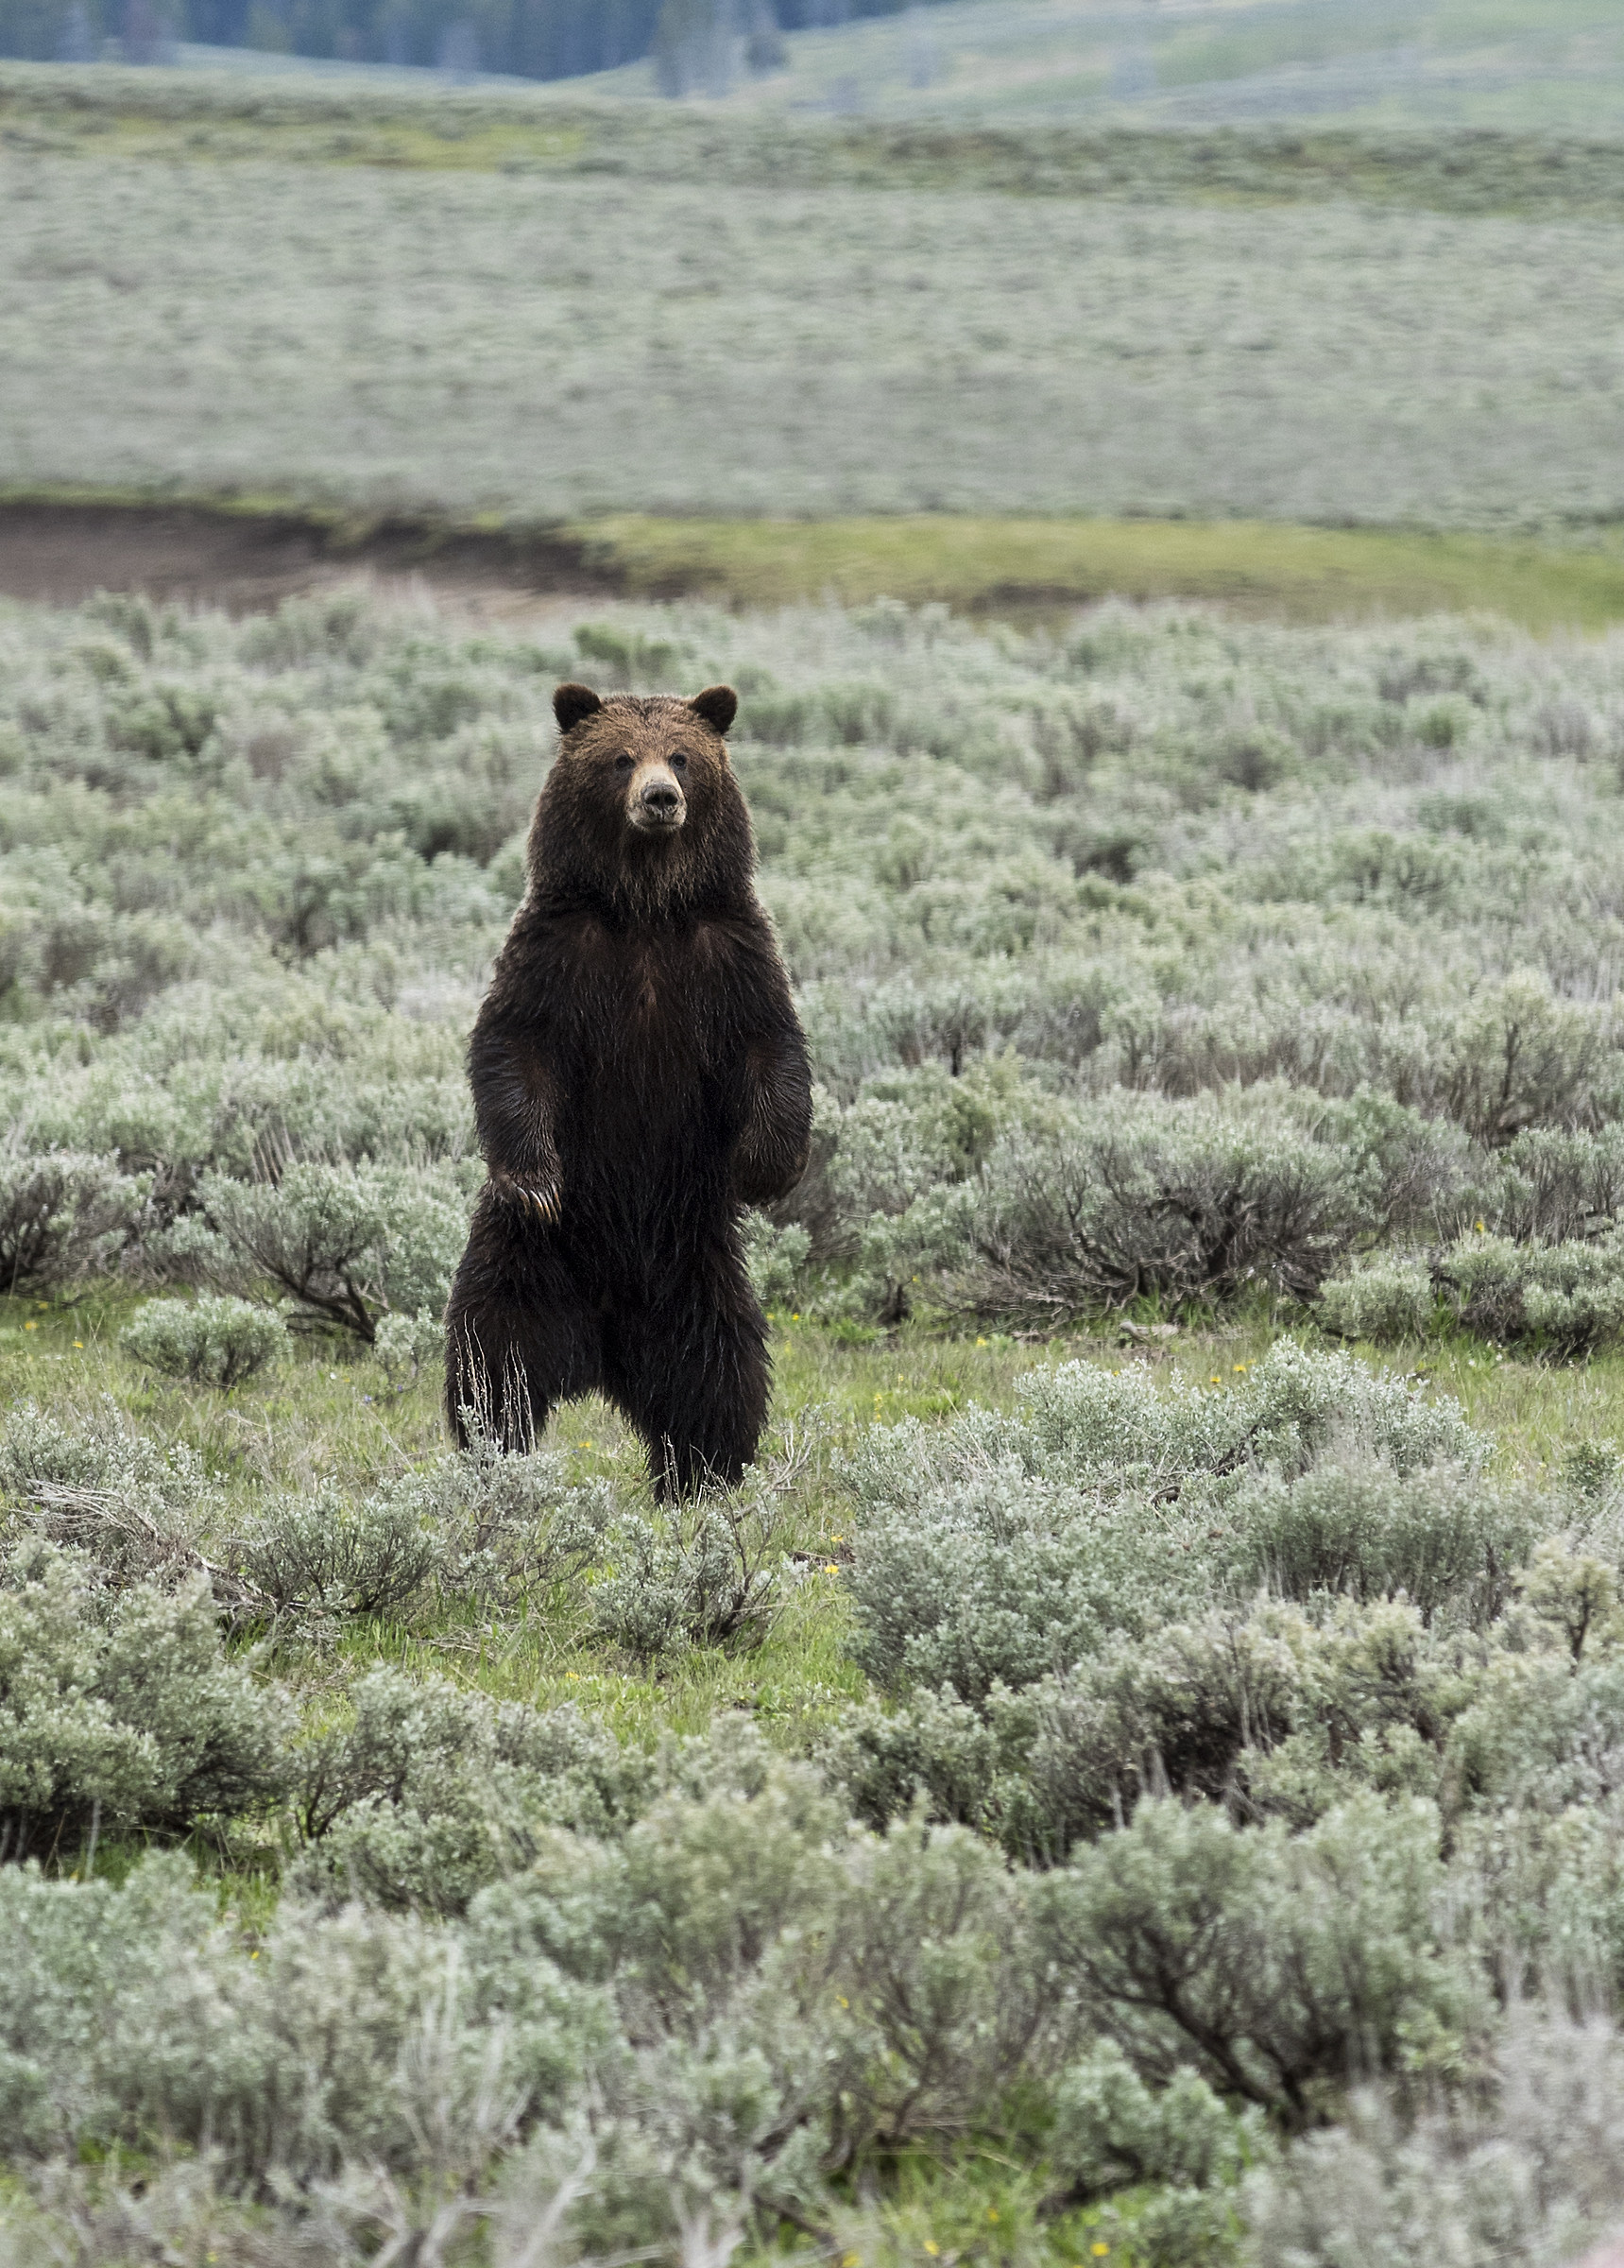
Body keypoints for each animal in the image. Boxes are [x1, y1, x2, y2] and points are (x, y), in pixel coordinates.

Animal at [444, 680, 813, 1499]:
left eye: (681, 755)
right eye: (618, 758)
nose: (659, 798)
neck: (644, 907)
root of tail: (600, 1356)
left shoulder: (728, 955)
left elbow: (772, 1050)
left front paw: (764, 1167)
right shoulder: (558, 953)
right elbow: (514, 1046)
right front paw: (535, 1178)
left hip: (694, 1265)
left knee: (717, 1372)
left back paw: (702, 1474)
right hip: (527, 1263)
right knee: (491, 1361)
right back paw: (493, 1454)